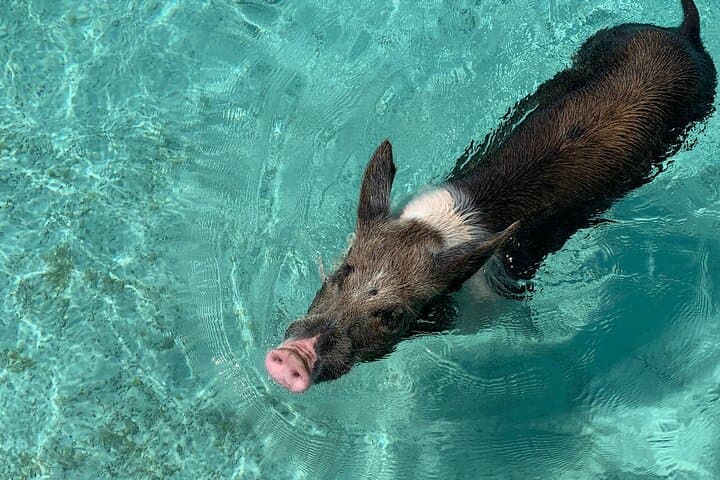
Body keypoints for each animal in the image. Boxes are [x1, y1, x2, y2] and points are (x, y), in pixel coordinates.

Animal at [265, 0, 716, 393]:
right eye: (342, 272)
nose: (294, 355)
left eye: (392, 316)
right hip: (598, 44)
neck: (437, 231)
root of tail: (682, 33)